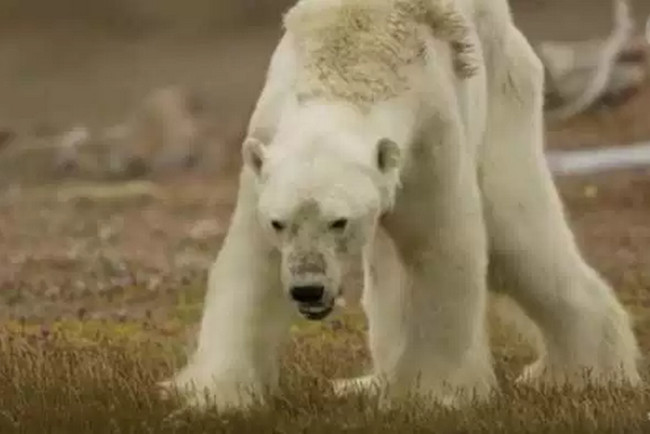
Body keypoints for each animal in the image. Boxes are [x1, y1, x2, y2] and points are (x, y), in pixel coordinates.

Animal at [161, 0, 641, 411]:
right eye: (280, 223)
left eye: (339, 222)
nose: (308, 289)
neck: (351, 62)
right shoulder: (268, 142)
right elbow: (251, 265)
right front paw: (214, 393)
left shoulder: (430, 137)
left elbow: (441, 253)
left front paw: (430, 394)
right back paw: (367, 382)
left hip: (505, 100)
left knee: (517, 241)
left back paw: (583, 373)